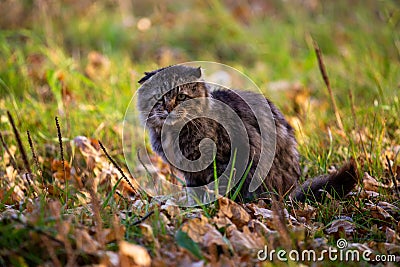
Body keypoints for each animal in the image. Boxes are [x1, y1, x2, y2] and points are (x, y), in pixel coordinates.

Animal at [136, 65, 358, 203]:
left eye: (181, 97)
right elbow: (195, 192)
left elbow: (217, 189)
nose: (168, 108)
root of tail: (288, 195)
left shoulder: (223, 160)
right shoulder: (192, 174)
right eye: (158, 98)